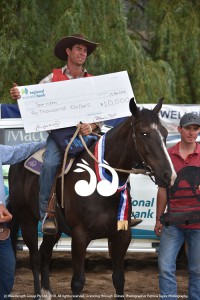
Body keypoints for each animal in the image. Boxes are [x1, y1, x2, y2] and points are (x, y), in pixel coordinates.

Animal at [8, 97, 176, 298]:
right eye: (144, 133)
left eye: (165, 133)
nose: (169, 175)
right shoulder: (80, 236)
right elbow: (77, 282)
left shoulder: (121, 235)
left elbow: (119, 279)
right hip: (27, 220)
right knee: (34, 257)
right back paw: (38, 293)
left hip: (54, 229)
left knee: (45, 253)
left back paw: (47, 291)